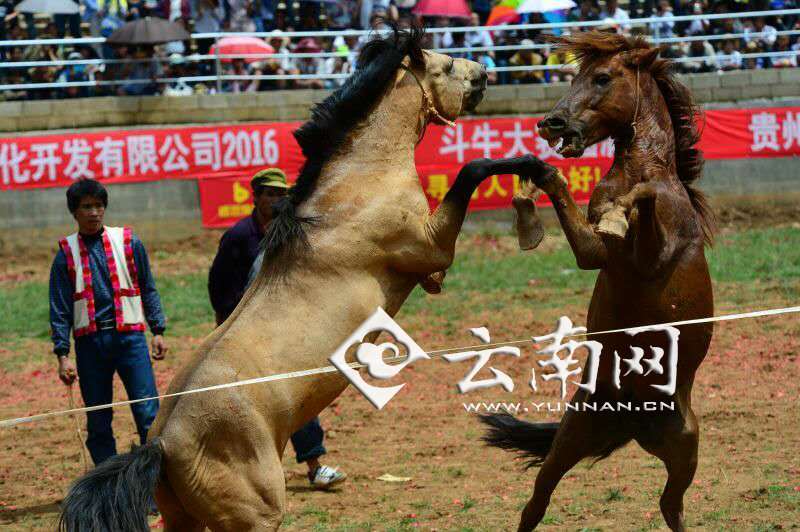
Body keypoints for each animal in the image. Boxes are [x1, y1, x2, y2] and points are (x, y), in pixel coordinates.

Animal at [58, 27, 540, 532]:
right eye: (446, 67)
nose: (483, 73)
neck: (360, 179)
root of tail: (162, 443)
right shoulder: (430, 244)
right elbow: (472, 170)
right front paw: (529, 162)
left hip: (182, 518)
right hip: (256, 515)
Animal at [483, 31, 716, 532]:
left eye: (603, 77)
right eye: (575, 76)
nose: (551, 122)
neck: (644, 167)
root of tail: (629, 421)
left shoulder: (652, 254)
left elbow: (641, 199)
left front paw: (619, 212)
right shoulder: (595, 253)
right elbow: (550, 177)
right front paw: (527, 208)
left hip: (685, 450)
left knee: (671, 506)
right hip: (572, 437)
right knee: (537, 501)